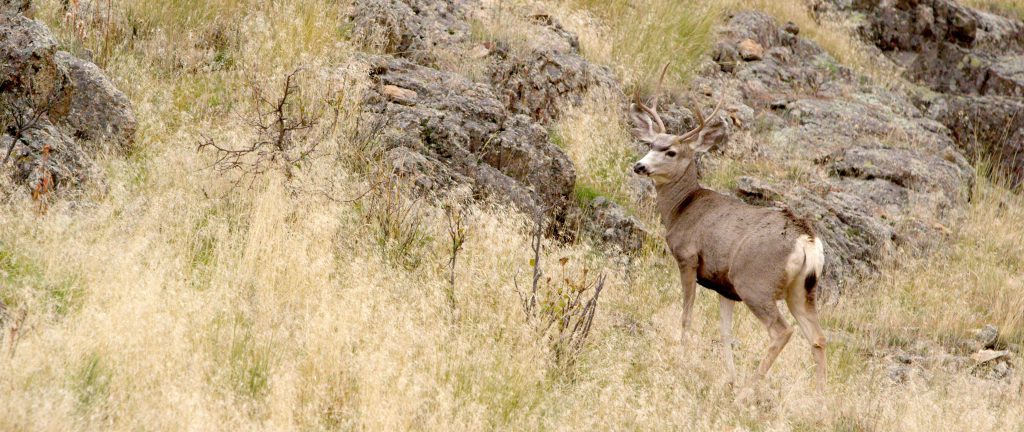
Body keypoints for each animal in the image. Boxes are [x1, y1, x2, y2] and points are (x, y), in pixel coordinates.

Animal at [629, 64, 827, 391]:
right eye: (650, 144)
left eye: (671, 151)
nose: (639, 166)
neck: (683, 209)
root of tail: (806, 238)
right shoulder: (724, 287)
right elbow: (725, 333)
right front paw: (729, 377)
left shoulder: (688, 258)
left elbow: (687, 315)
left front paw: (683, 357)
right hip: (802, 290)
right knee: (818, 337)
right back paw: (818, 396)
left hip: (755, 283)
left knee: (782, 331)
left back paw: (750, 389)